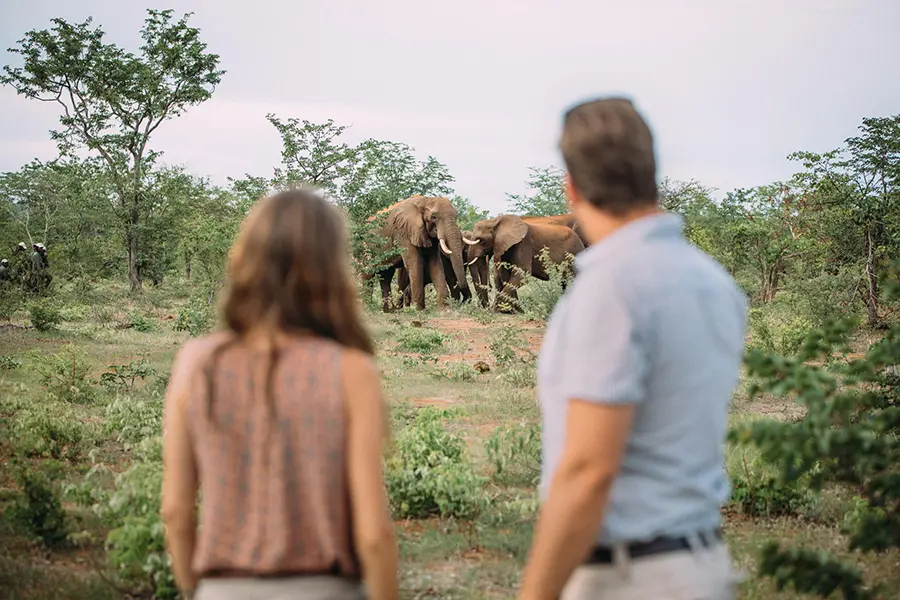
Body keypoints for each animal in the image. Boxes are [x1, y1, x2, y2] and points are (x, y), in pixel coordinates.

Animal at [460, 214, 588, 312]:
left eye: (482, 241)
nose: (485, 308)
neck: (496, 221)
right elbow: (507, 276)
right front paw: (514, 311)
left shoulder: (523, 244)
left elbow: (522, 273)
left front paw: (497, 310)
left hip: (575, 252)